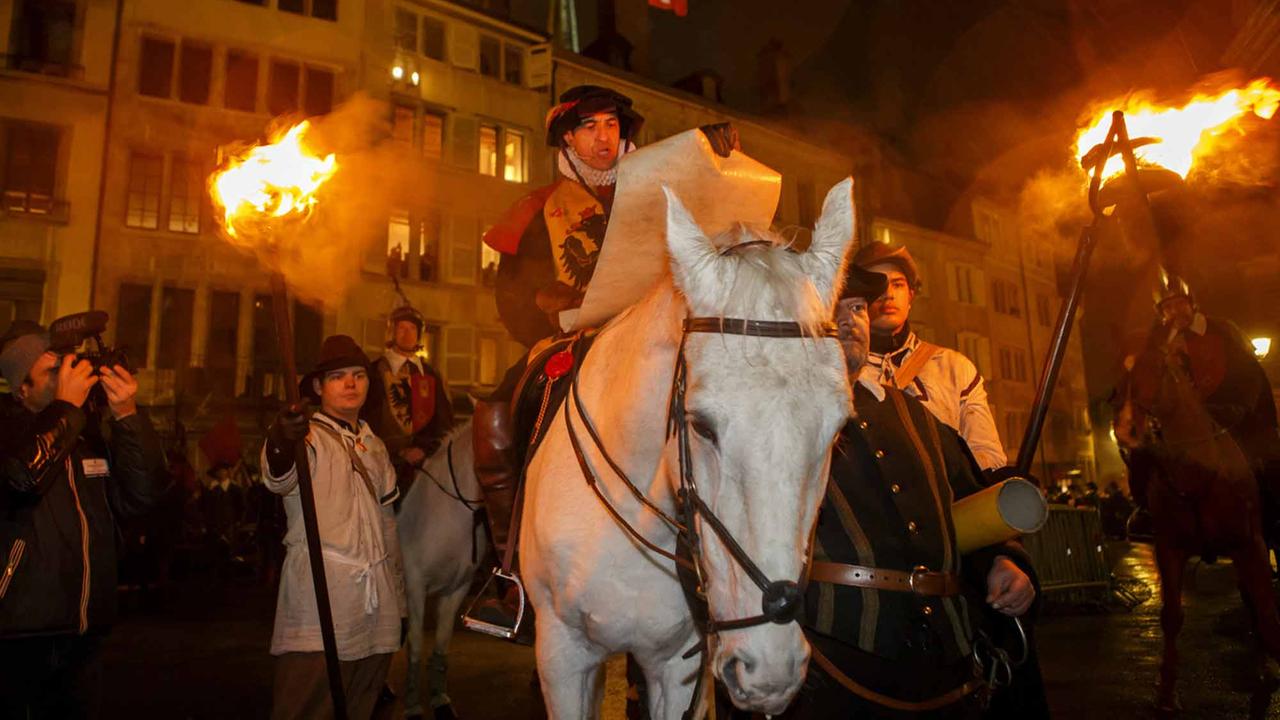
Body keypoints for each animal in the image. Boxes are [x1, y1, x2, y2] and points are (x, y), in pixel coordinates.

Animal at [396, 422, 486, 712]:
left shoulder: (457, 588)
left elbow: (442, 641)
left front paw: (439, 696)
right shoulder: (414, 587)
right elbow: (415, 644)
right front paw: (412, 702)